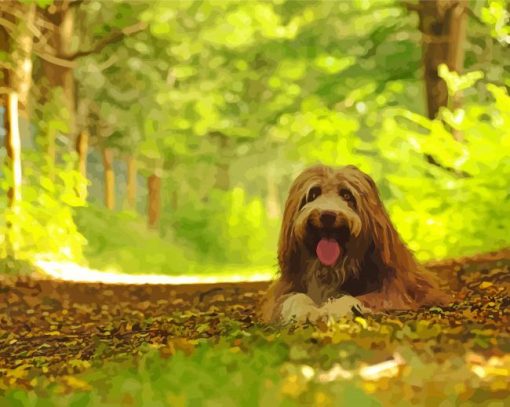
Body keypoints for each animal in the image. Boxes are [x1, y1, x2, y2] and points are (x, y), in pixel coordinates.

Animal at [260, 164, 448, 324]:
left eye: (347, 195)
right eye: (313, 194)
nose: (327, 215)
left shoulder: (397, 288)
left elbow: (364, 298)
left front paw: (334, 307)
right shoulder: (283, 289)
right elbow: (291, 297)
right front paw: (304, 310)